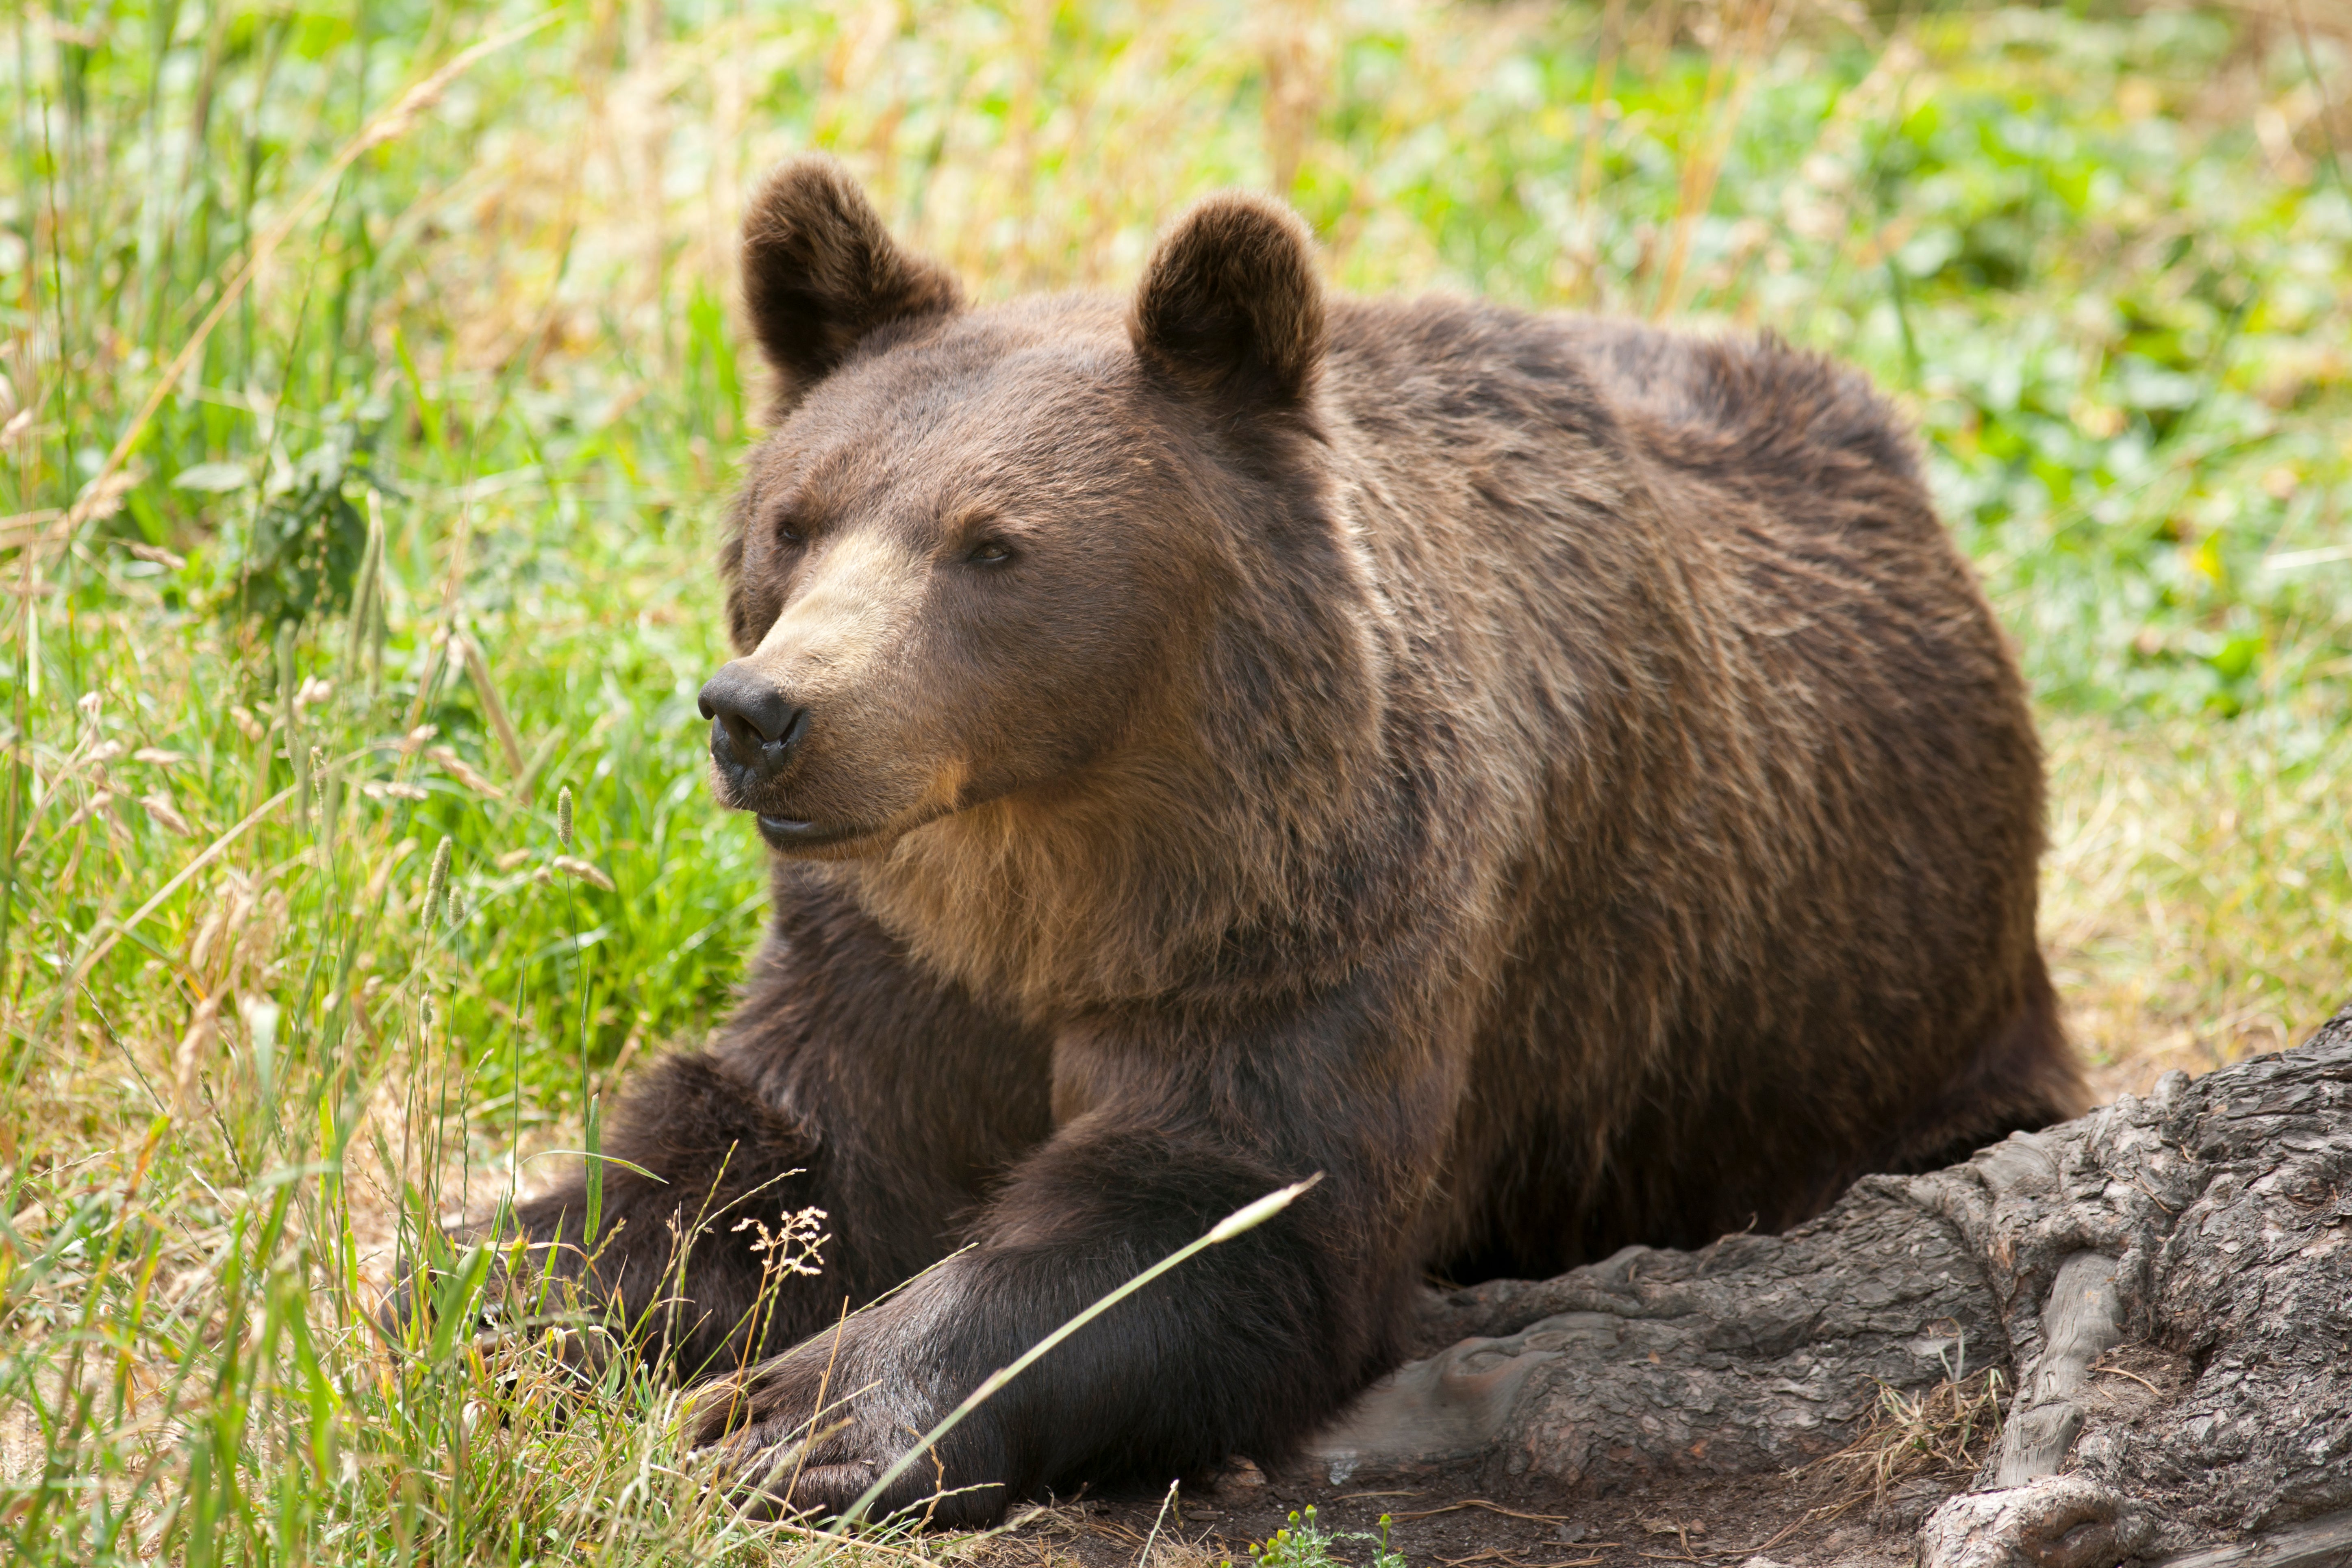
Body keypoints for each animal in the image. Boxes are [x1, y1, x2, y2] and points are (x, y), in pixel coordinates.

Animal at [506, 152, 2088, 1523]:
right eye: (798, 517)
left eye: (990, 544)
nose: (763, 712)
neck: (1059, 867)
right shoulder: (893, 956)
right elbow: (749, 1153)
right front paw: (506, 1293)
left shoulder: (1326, 924)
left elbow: (1219, 1212)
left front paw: (792, 1413)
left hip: (1865, 1027)